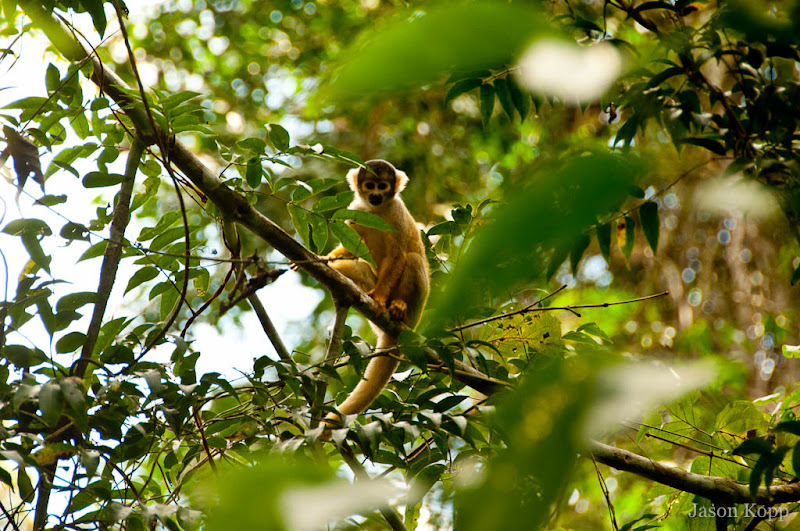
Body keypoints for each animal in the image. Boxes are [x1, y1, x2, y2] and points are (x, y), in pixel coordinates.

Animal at [324, 159, 430, 423]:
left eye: (383, 186)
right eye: (370, 185)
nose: (375, 196)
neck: (377, 210)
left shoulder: (397, 213)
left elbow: (397, 256)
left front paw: (380, 300)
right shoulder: (354, 210)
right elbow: (351, 247)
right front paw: (326, 259)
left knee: (412, 259)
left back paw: (398, 307)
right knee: (361, 267)